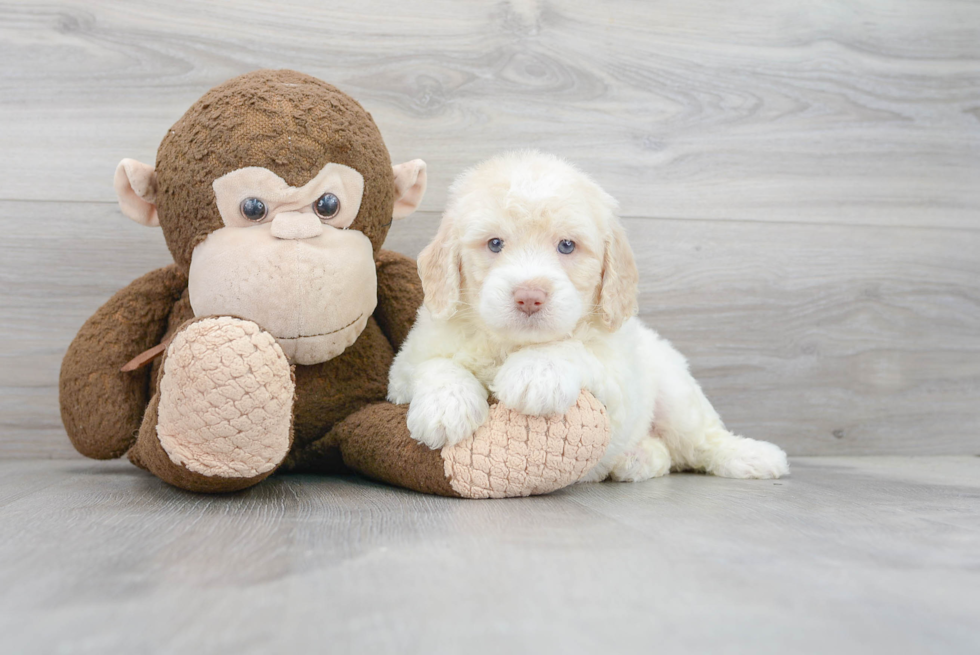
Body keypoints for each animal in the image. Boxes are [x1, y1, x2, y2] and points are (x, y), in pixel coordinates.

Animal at [390, 152, 788, 482]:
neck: (511, 344)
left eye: (567, 245)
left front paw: (536, 372)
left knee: (701, 439)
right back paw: (638, 458)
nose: (529, 296)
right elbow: (434, 364)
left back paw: (753, 456)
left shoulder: (617, 376)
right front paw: (446, 408)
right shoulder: (405, 366)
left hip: (676, 391)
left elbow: (574, 348)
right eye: (495, 244)